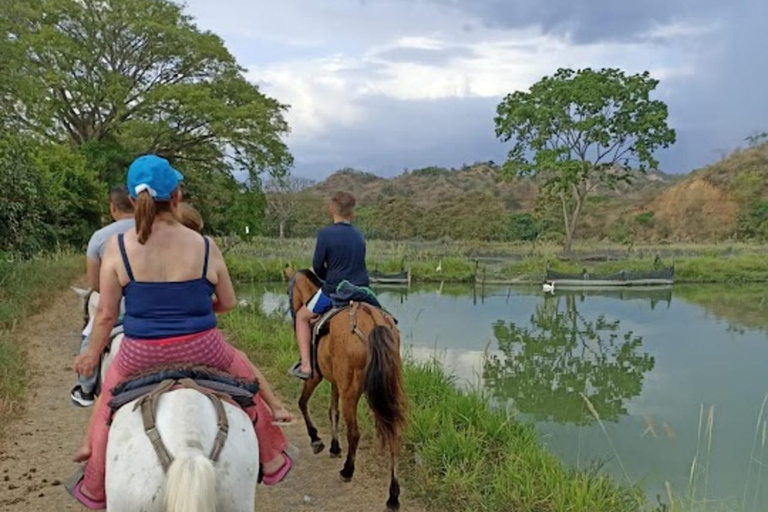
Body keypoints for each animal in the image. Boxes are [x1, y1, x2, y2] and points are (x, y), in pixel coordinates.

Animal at [286, 270, 408, 510]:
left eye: (288, 291)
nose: (293, 318)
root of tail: (373, 321)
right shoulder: (336, 382)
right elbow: (333, 412)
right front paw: (334, 447)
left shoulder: (315, 376)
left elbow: (302, 403)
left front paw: (316, 439)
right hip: (385, 388)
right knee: (394, 434)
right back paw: (393, 495)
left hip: (350, 390)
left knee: (354, 432)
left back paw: (348, 470)